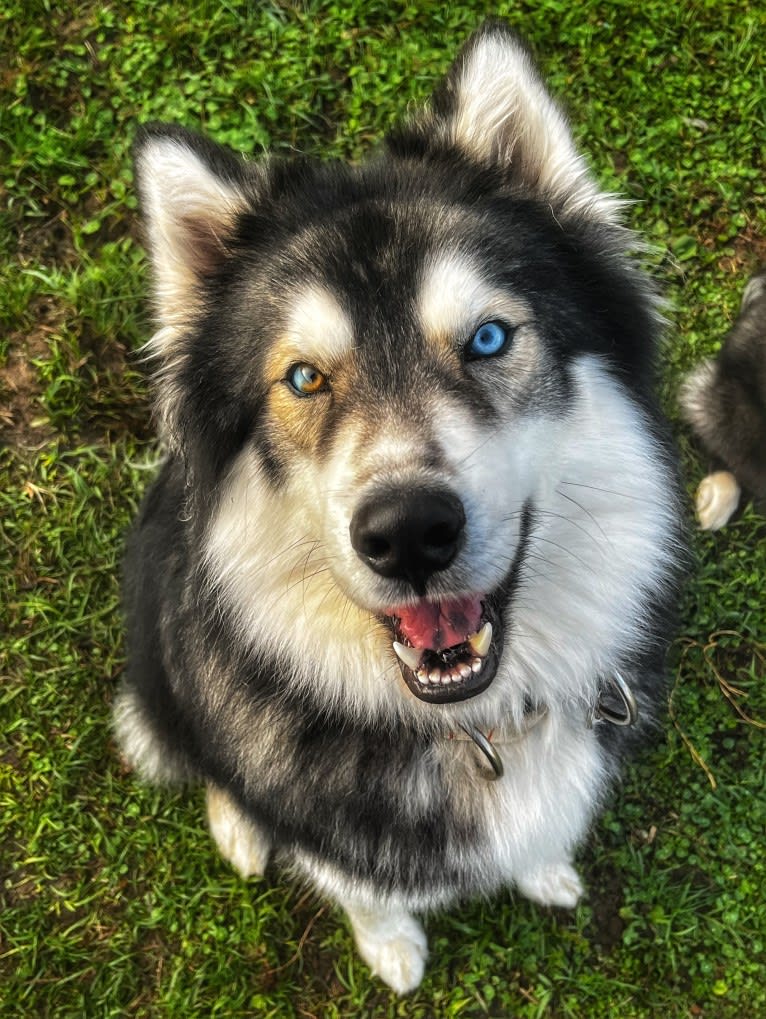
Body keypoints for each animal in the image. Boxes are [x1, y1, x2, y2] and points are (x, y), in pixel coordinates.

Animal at [116, 21, 684, 994]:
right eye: (304, 377)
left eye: (488, 338)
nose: (408, 533)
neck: (469, 724)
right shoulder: (327, 832)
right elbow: (362, 891)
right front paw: (392, 949)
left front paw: (544, 868)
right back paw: (238, 828)